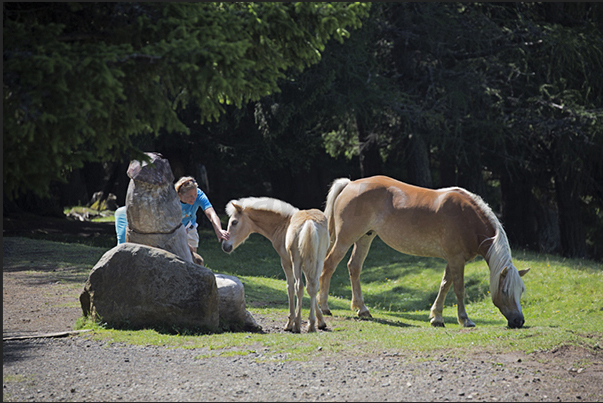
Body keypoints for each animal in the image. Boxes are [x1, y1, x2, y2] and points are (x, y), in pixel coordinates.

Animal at [221, 197, 328, 332]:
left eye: (234, 222)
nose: (225, 246)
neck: (283, 224)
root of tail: (309, 222)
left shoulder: (286, 261)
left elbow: (290, 287)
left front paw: (290, 323)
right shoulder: (307, 264)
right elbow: (310, 288)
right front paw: (320, 322)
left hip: (297, 261)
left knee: (299, 286)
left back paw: (297, 325)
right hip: (318, 260)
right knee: (313, 285)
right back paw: (311, 326)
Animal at [318, 176, 532, 328]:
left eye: (521, 290)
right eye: (505, 290)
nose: (519, 321)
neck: (468, 218)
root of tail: (350, 184)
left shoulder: (453, 260)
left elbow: (445, 285)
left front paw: (436, 317)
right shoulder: (456, 259)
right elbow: (459, 289)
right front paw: (465, 319)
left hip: (365, 237)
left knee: (354, 267)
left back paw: (362, 309)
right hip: (345, 239)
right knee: (329, 265)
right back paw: (324, 306)